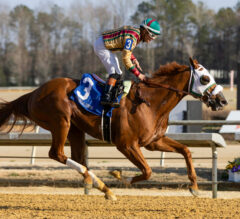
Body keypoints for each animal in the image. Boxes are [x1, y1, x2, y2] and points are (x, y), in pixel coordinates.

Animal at [0, 57, 227, 200]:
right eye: (205, 78)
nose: (222, 100)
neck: (150, 102)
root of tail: (33, 93)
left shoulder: (153, 141)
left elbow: (186, 151)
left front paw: (194, 187)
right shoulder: (126, 145)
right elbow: (147, 171)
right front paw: (120, 176)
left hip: (75, 129)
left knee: (77, 158)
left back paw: (101, 187)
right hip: (61, 122)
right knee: (57, 153)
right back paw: (99, 183)